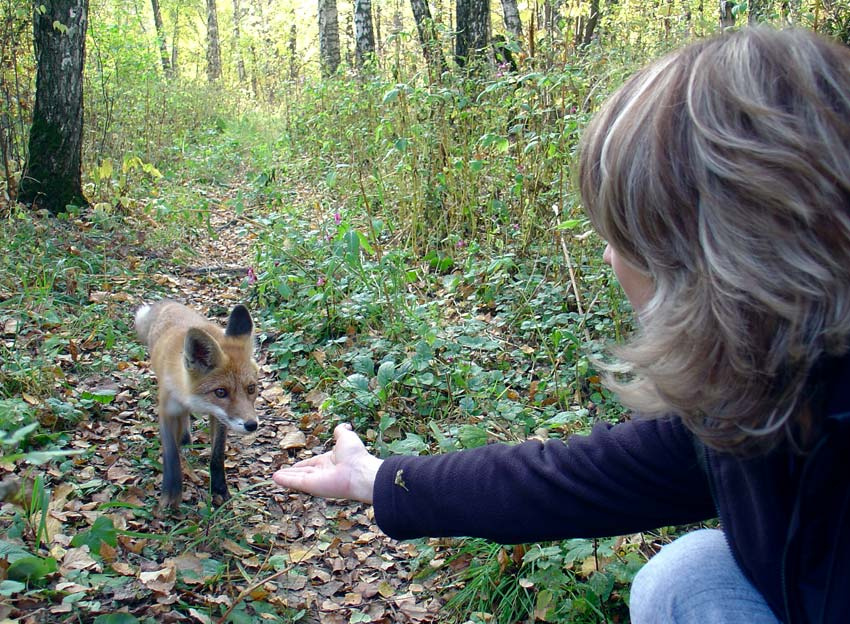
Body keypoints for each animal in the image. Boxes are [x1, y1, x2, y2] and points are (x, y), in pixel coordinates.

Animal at [134, 300, 260, 509]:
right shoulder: (166, 411)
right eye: (221, 392)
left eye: (251, 388)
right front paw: (170, 495)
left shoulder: (219, 417)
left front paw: (219, 489)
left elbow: (217, 456)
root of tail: (168, 303)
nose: (252, 425)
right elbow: (171, 455)